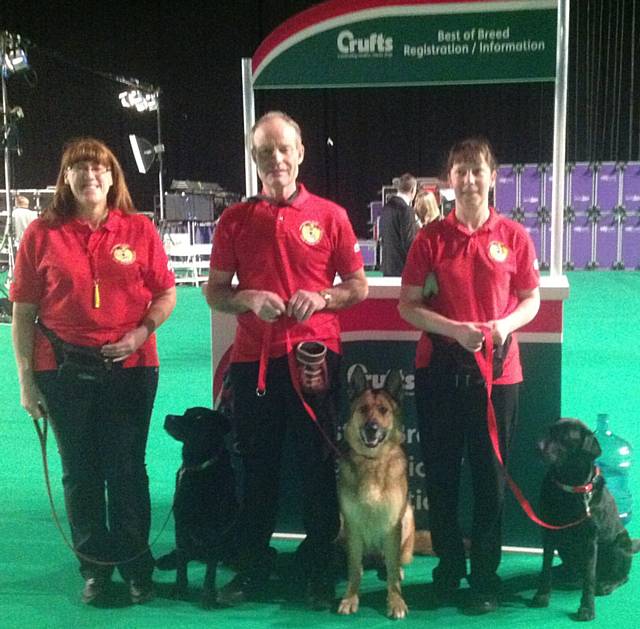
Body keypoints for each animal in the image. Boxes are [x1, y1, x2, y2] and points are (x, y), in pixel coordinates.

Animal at [156, 404, 239, 604]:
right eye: (185, 413)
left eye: (198, 419)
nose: (168, 417)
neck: (198, 466)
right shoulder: (180, 520)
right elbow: (181, 559)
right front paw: (179, 588)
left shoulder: (216, 527)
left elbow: (211, 567)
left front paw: (208, 595)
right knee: (184, 554)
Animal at [338, 366, 418, 616]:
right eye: (363, 409)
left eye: (383, 410)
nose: (371, 429)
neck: (372, 462)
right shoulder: (353, 526)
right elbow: (355, 570)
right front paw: (350, 597)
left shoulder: (392, 526)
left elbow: (392, 571)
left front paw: (395, 600)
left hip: (407, 518)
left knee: (393, 561)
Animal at [528, 420, 640, 620]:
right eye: (548, 432)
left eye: (564, 437)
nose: (536, 446)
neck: (569, 485)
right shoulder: (548, 533)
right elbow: (545, 568)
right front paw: (542, 595)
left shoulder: (589, 541)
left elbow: (589, 578)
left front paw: (587, 609)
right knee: (569, 570)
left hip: (619, 545)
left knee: (620, 577)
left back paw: (605, 585)